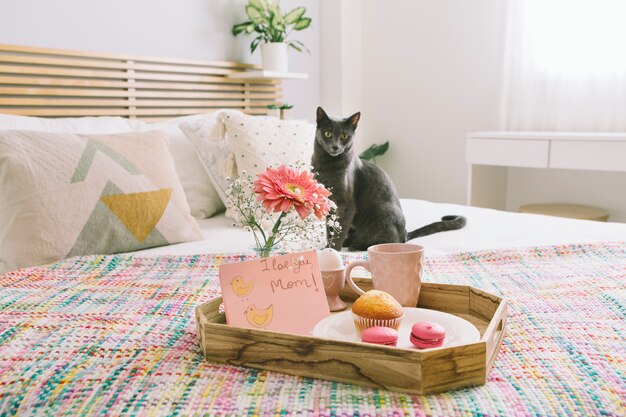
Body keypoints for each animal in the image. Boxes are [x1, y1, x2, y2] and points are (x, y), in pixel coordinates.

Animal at [312, 107, 464, 250]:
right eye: (327, 134)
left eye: (344, 136)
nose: (335, 146)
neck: (326, 166)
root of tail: (405, 233)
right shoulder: (328, 202)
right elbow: (330, 228)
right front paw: (327, 247)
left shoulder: (346, 205)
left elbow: (339, 228)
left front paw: (333, 250)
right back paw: (349, 242)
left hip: (382, 214)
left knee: (388, 242)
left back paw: (358, 246)